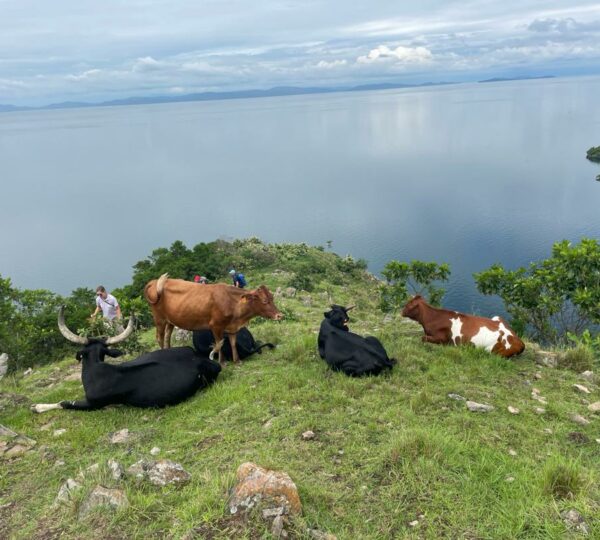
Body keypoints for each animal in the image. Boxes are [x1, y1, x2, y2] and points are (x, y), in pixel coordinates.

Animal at [146, 272, 284, 364]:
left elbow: (233, 343)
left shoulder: (232, 327)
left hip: (170, 321)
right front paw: (222, 362)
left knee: (167, 337)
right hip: (159, 319)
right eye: (265, 301)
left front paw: (237, 361)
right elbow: (219, 344)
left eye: (272, 297)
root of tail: (153, 282)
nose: (279, 315)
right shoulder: (216, 326)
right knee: (160, 338)